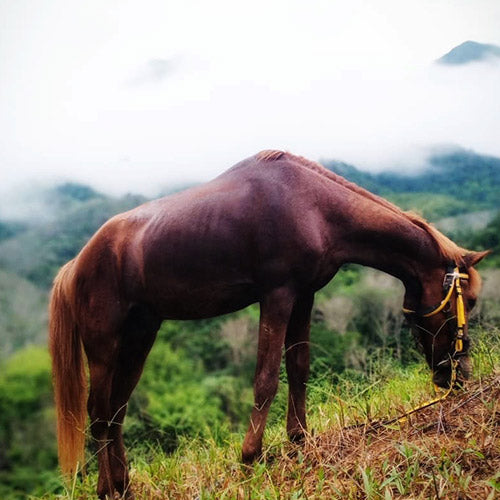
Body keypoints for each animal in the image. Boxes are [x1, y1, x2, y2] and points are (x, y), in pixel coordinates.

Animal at [49, 150, 488, 498]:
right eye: (465, 302)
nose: (459, 374)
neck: (313, 207)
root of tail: (76, 264)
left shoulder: (304, 296)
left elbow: (298, 368)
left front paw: (299, 440)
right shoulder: (276, 296)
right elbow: (266, 377)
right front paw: (250, 456)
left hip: (140, 337)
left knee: (116, 411)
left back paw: (123, 484)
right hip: (104, 346)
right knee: (99, 412)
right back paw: (106, 489)